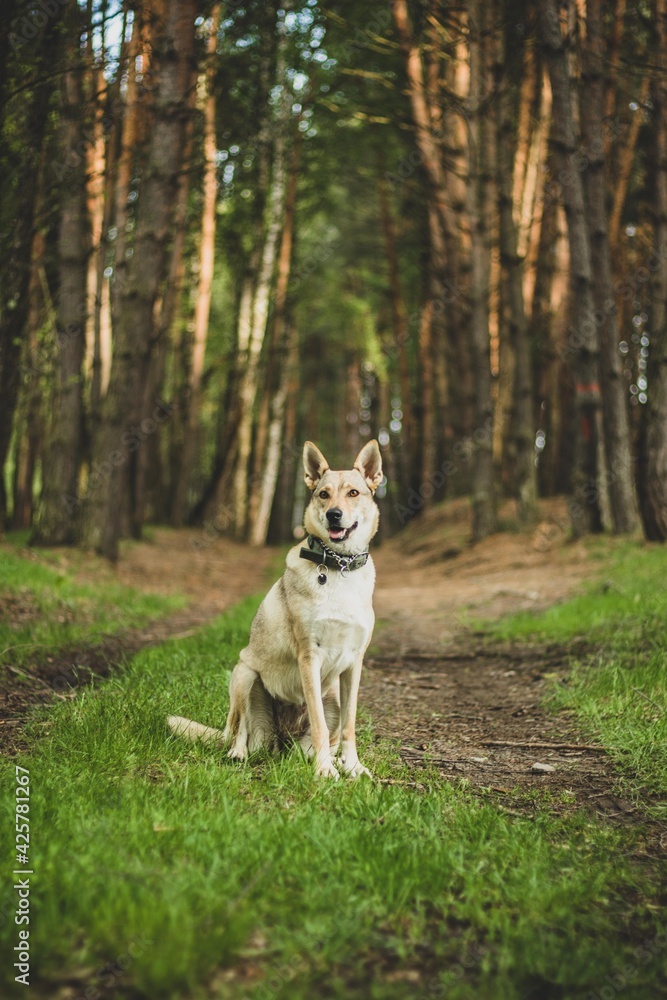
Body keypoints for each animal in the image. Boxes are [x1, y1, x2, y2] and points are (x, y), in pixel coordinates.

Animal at [167, 440, 384, 780]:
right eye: (324, 494)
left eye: (353, 493)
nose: (334, 515)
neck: (339, 568)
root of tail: (281, 743)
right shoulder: (309, 656)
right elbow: (319, 725)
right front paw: (324, 771)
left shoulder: (354, 664)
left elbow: (349, 726)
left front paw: (352, 766)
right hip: (244, 674)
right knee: (240, 731)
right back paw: (240, 753)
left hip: (332, 697)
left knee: (319, 739)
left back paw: (325, 759)